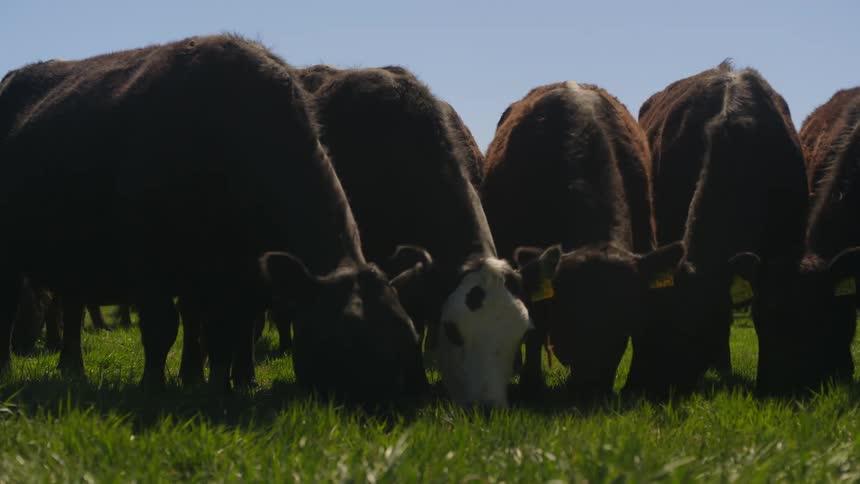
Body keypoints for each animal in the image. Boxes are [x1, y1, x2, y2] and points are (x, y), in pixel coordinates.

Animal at [0, 35, 426, 401]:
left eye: (406, 330)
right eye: (348, 335)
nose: (400, 400)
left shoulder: (241, 273)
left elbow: (228, 331)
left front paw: (221, 388)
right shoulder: (147, 254)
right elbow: (162, 326)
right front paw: (153, 387)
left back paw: (73, 369)